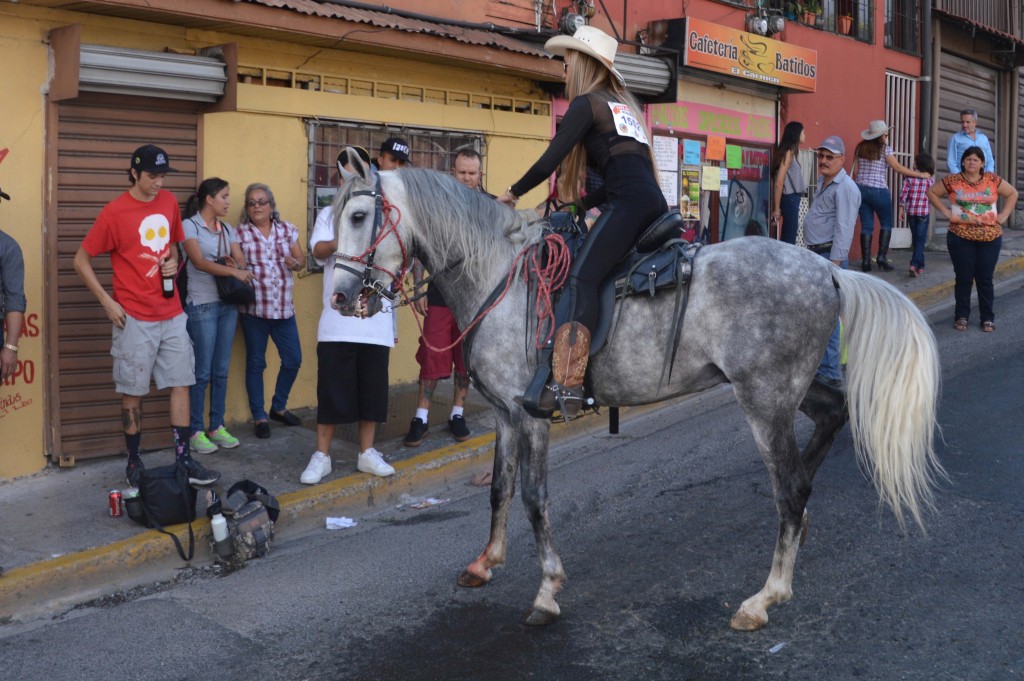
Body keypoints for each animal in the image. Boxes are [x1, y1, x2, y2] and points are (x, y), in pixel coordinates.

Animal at [329, 152, 942, 626]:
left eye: (359, 215)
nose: (337, 296)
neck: (499, 275)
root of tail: (829, 269)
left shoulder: (530, 415)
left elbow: (534, 498)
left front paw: (547, 591)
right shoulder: (504, 414)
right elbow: (499, 490)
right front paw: (485, 563)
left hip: (765, 402)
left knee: (791, 488)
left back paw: (766, 597)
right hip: (788, 388)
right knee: (832, 419)